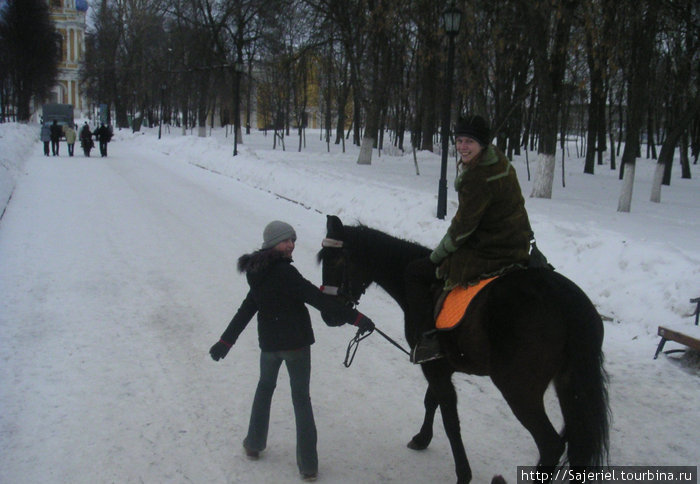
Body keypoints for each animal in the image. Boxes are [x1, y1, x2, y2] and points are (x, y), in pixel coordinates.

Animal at [318, 216, 608, 484]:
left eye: (335, 262)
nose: (328, 315)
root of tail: (567, 304)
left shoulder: (433, 367)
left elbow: (449, 419)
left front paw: (462, 473)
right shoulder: (440, 365)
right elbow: (432, 401)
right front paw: (422, 438)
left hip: (518, 389)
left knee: (551, 445)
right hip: (568, 385)